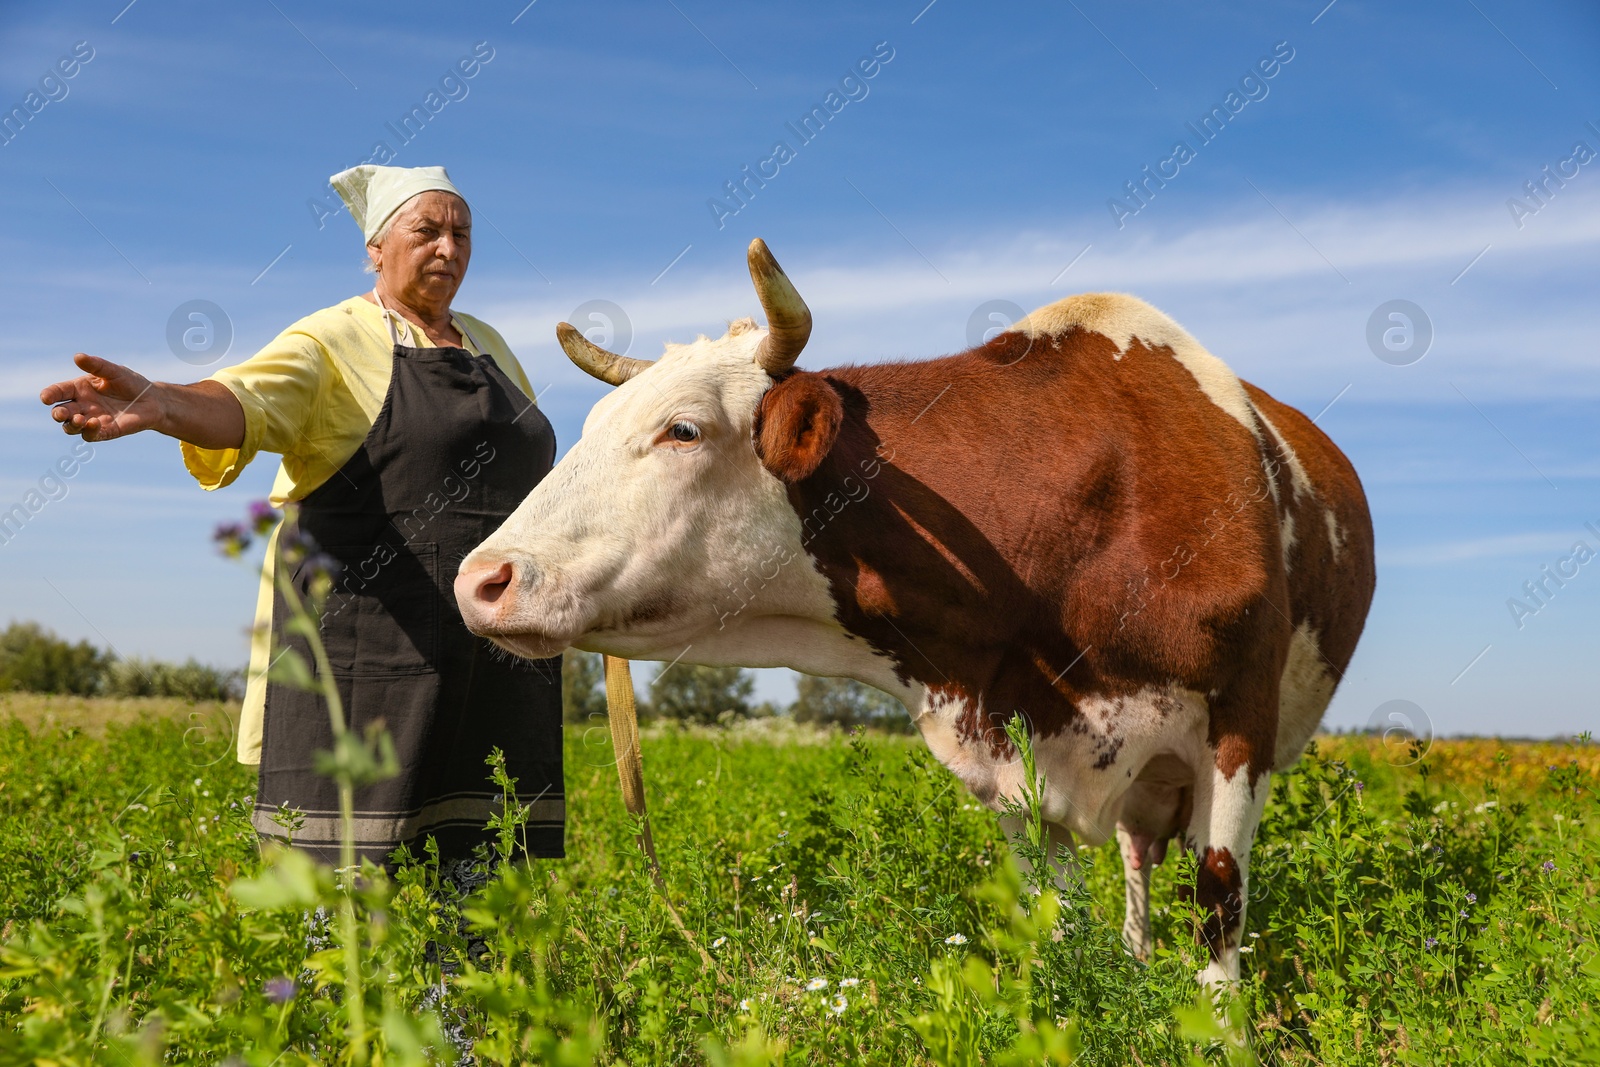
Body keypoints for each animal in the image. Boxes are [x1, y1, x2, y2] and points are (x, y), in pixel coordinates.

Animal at [454, 239, 1376, 985]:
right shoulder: (1021, 761)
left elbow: (1220, 907)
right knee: (1136, 856)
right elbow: (1055, 920)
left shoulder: (1240, 724)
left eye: (682, 429)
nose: (479, 579)